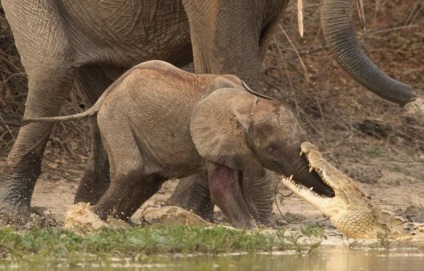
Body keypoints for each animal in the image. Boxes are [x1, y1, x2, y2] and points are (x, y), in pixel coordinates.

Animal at [24, 60, 332, 228]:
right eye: (272, 150)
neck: (248, 101)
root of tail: (105, 95)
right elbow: (222, 187)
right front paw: (253, 229)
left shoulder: (236, 145)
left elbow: (239, 185)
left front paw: (261, 228)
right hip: (117, 119)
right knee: (130, 173)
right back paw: (91, 221)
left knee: (149, 179)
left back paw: (114, 222)